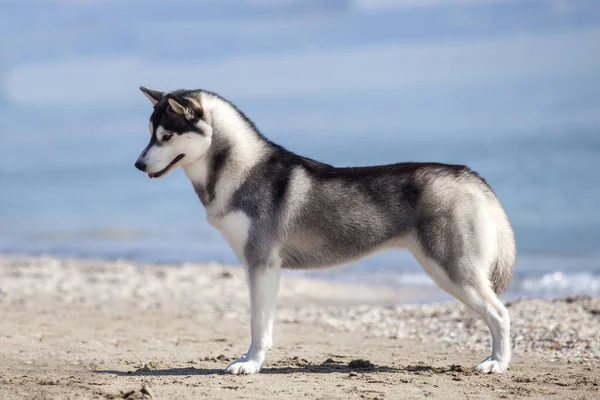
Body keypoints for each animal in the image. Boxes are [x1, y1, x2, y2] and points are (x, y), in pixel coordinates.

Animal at [135, 86, 516, 376]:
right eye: (150, 135)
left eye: (166, 136)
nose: (138, 164)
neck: (239, 171)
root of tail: (469, 175)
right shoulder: (266, 268)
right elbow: (264, 324)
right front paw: (255, 361)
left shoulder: (260, 263)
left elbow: (257, 324)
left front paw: (250, 364)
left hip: (450, 270)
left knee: (500, 313)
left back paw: (497, 363)